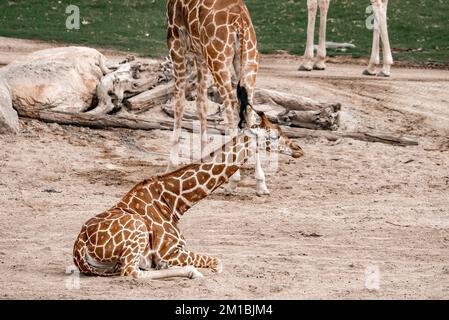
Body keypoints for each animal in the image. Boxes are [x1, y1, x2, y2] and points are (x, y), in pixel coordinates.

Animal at [72, 111, 304, 278]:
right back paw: (192, 272)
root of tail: (80, 244)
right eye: (274, 135)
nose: (298, 149)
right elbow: (218, 263)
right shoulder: (170, 251)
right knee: (131, 272)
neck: (174, 203)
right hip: (137, 231)